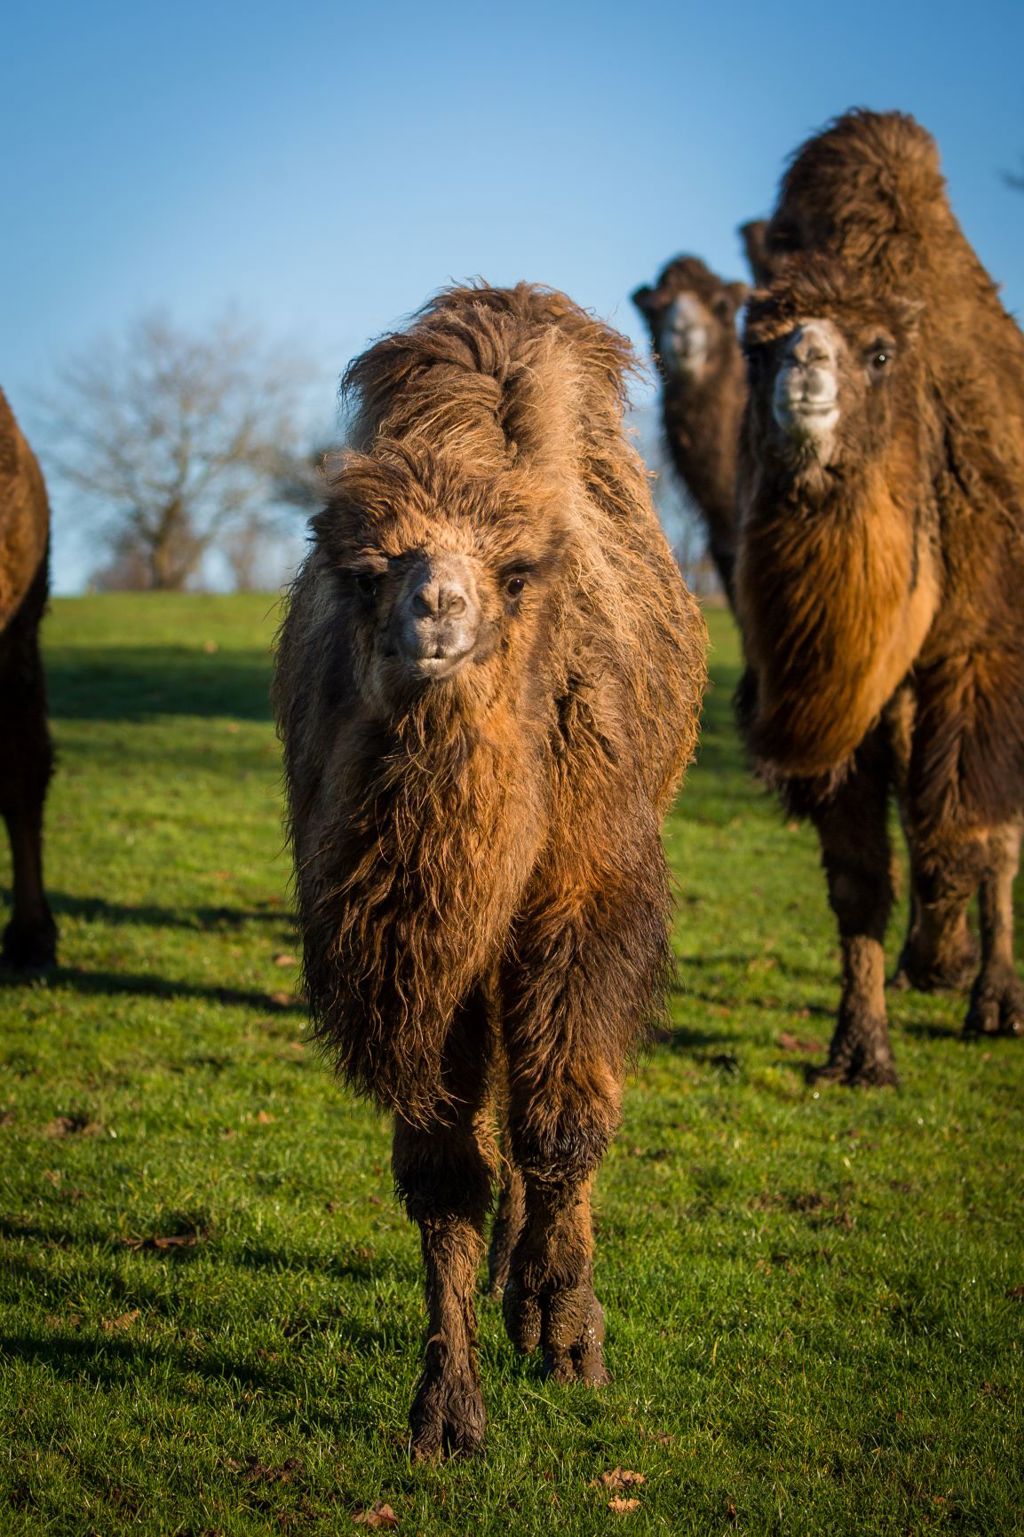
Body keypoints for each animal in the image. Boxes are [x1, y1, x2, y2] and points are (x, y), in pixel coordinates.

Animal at [270, 285, 701, 1450]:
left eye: (511, 575)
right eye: (368, 572)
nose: (437, 611)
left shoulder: (585, 893)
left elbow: (566, 1119)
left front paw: (567, 1335)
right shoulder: (416, 961)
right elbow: (439, 1173)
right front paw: (445, 1406)